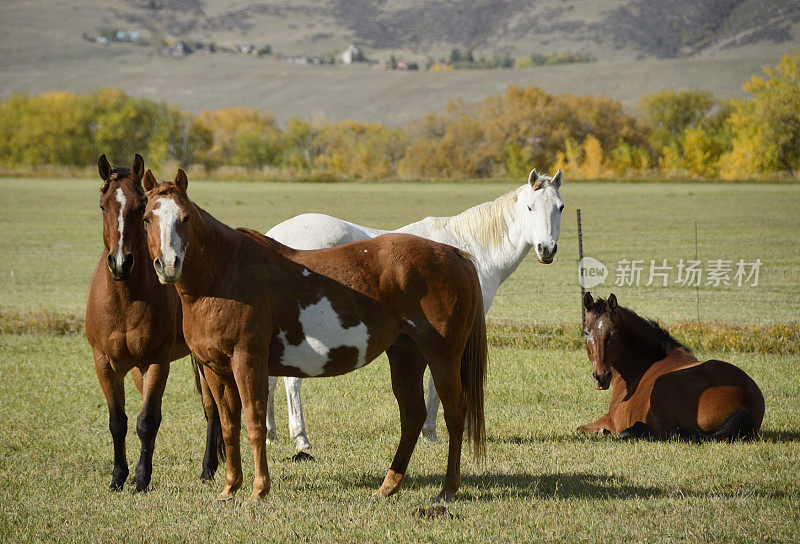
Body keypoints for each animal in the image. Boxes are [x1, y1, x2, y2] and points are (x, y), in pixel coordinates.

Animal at [85, 154, 223, 492]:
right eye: (103, 206)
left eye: (139, 207)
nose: (121, 262)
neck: (125, 298)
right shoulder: (104, 363)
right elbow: (118, 422)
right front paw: (118, 477)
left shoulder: (157, 362)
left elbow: (146, 422)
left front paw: (141, 478)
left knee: (212, 410)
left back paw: (208, 468)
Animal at [142, 170, 488, 502]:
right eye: (147, 218)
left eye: (185, 217)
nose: (168, 265)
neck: (224, 275)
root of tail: (452, 252)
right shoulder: (215, 369)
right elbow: (228, 428)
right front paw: (230, 488)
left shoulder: (247, 361)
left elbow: (254, 423)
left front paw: (259, 489)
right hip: (406, 354)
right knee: (413, 416)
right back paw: (388, 486)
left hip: (443, 357)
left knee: (455, 414)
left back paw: (447, 488)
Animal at [266, 168, 564, 452]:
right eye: (530, 207)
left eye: (560, 207)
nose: (546, 249)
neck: (470, 251)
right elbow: (436, 383)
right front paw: (430, 433)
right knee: (291, 382)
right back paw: (300, 438)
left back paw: (270, 434)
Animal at [576, 294, 764, 442]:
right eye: (586, 332)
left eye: (614, 333)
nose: (601, 377)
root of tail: (746, 399)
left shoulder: (611, 419)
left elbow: (580, 428)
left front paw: (602, 431)